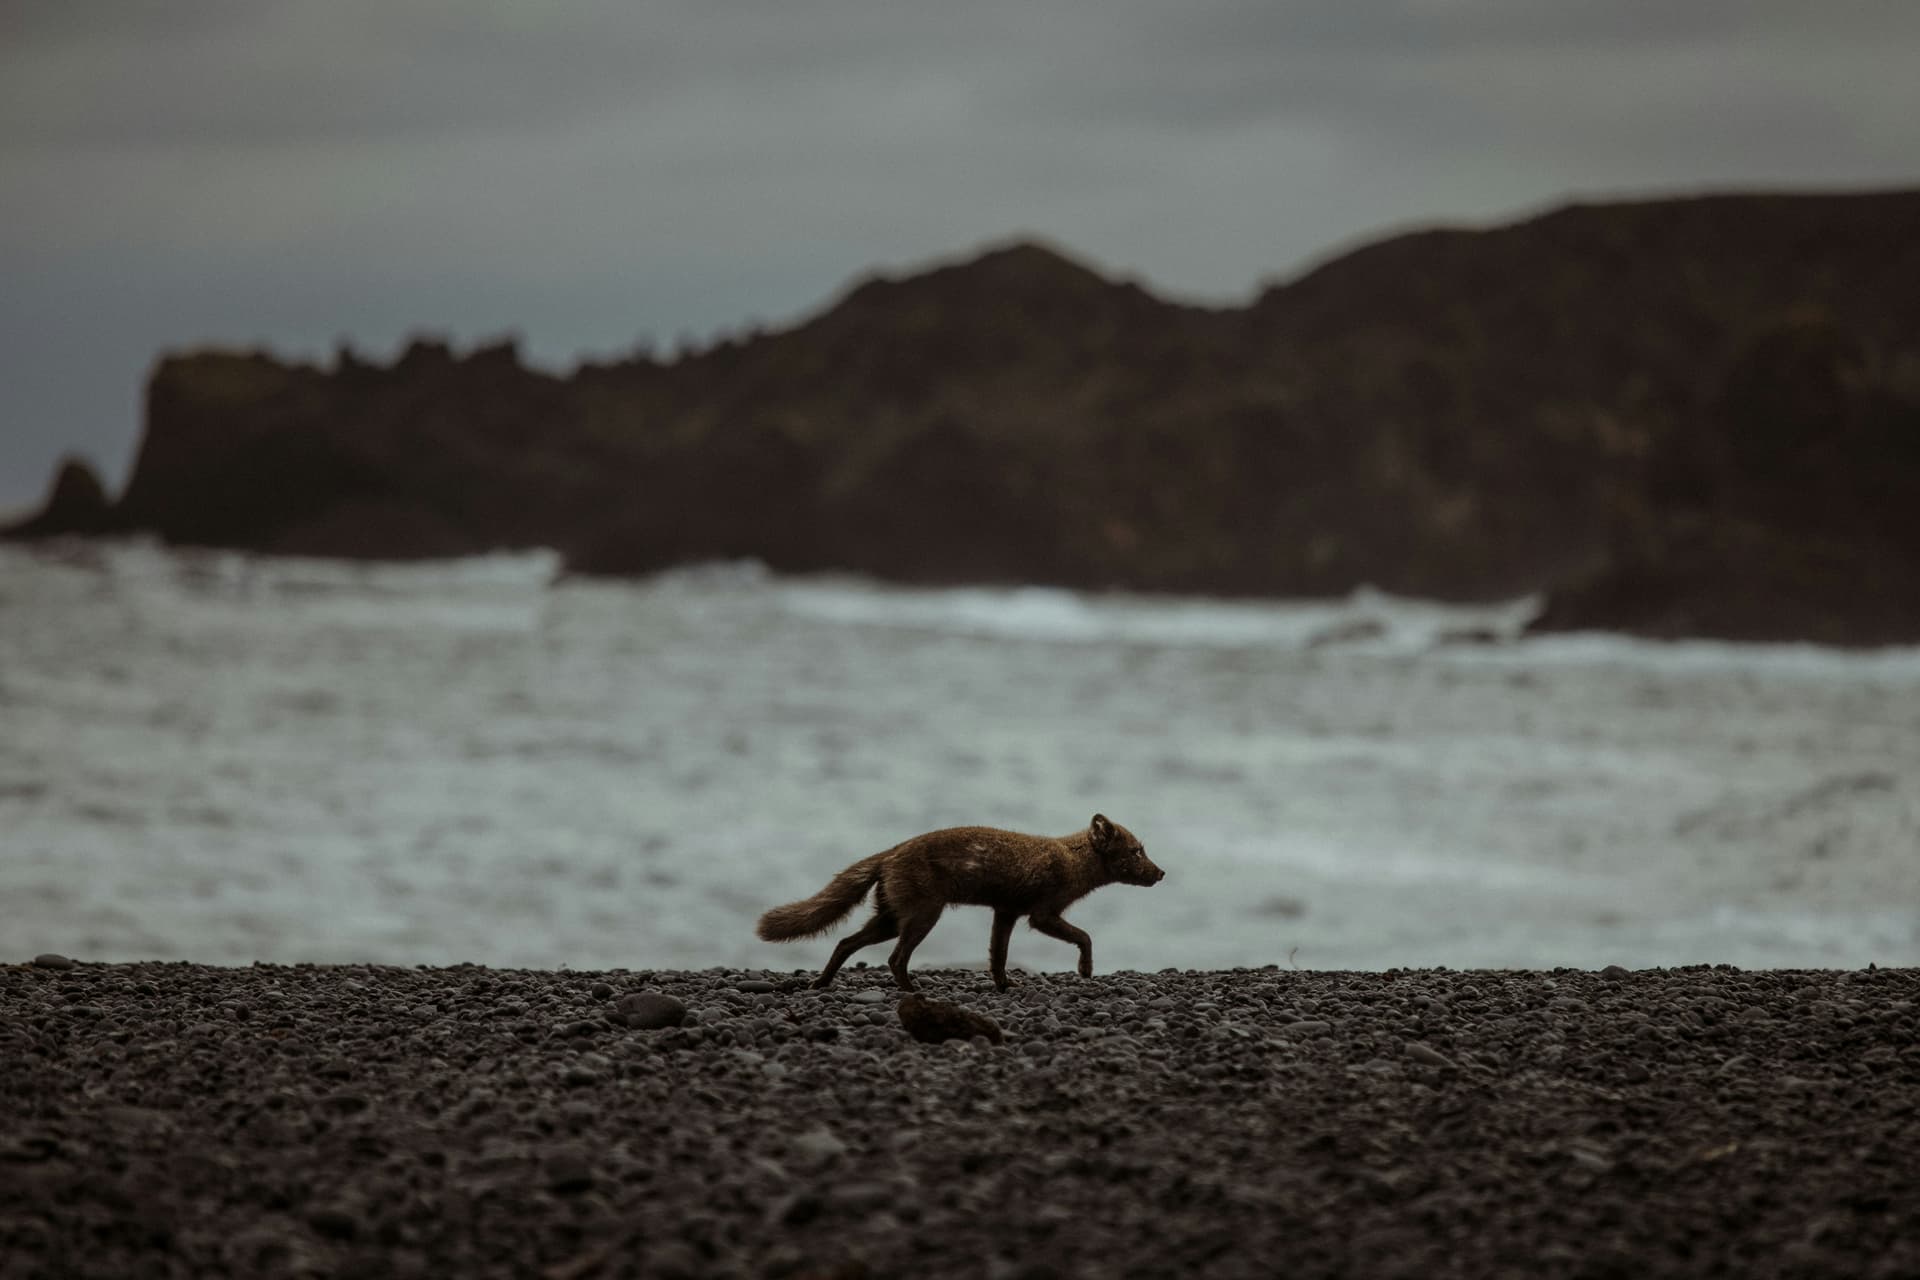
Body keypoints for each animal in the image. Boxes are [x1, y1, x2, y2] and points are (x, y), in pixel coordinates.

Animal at [755, 814, 1164, 991]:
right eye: (1137, 850)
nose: (1161, 873)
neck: (1070, 860)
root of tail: (890, 853)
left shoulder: (1006, 911)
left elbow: (998, 955)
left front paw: (1004, 986)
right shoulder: (1042, 912)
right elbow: (1085, 936)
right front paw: (1085, 970)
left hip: (889, 916)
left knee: (845, 941)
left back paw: (821, 982)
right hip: (923, 914)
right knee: (894, 958)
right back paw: (912, 991)